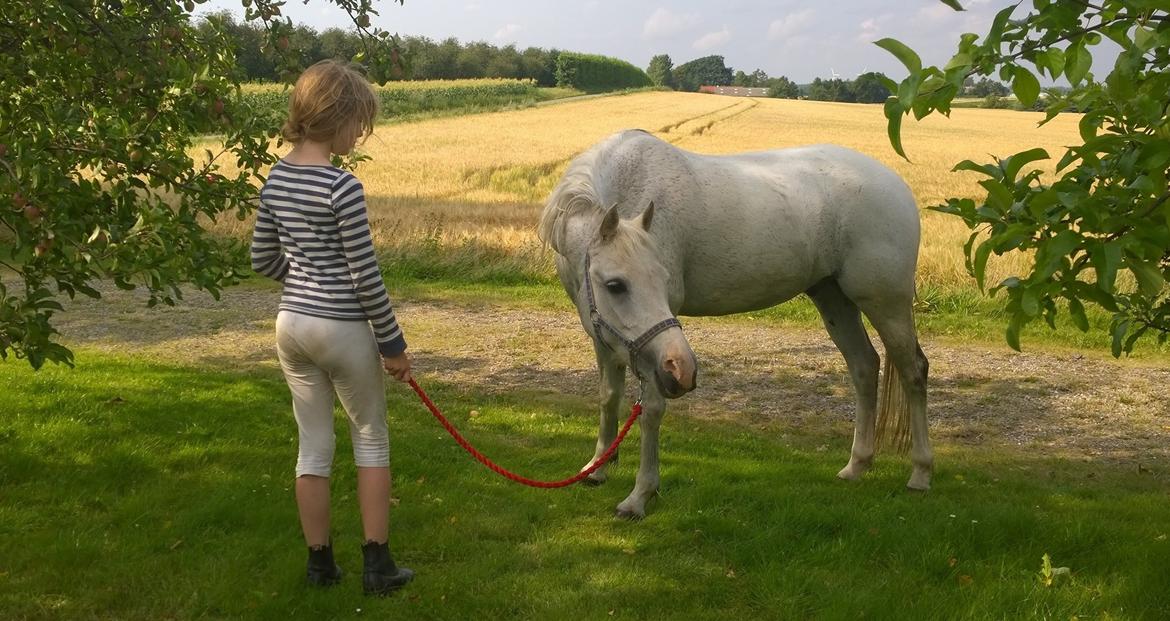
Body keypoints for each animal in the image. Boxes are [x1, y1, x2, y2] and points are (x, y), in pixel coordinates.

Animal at [538, 129, 931, 519]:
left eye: (664, 279)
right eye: (615, 285)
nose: (682, 369)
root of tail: (897, 186)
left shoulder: (652, 354)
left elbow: (650, 411)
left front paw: (639, 496)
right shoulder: (606, 336)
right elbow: (608, 397)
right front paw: (597, 468)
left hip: (887, 305)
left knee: (914, 371)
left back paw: (920, 474)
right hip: (833, 299)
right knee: (865, 368)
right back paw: (856, 466)